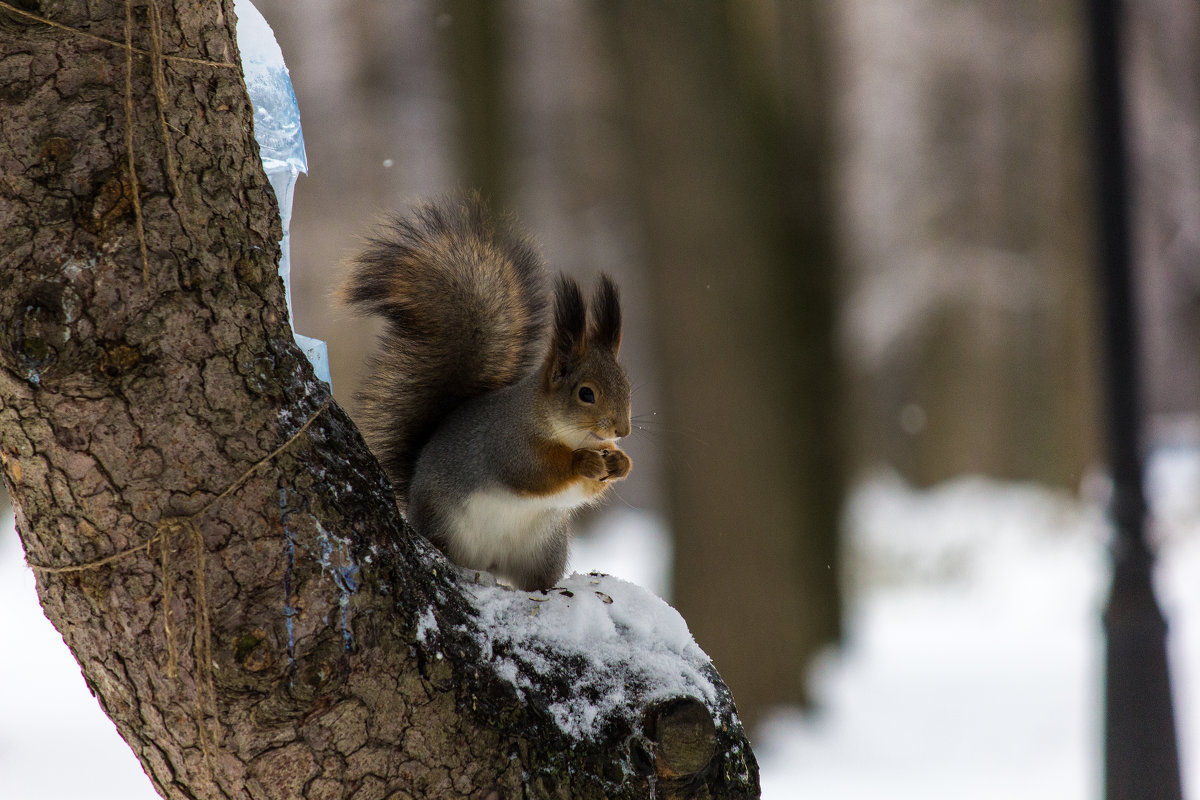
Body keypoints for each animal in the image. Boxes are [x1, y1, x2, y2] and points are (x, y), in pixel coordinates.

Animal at [343, 196, 633, 592]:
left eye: (627, 385)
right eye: (586, 394)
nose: (623, 431)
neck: (571, 436)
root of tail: (490, 564)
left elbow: (588, 490)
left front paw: (620, 463)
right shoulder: (505, 442)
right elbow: (532, 473)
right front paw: (583, 463)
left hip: (544, 548)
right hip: (445, 519)